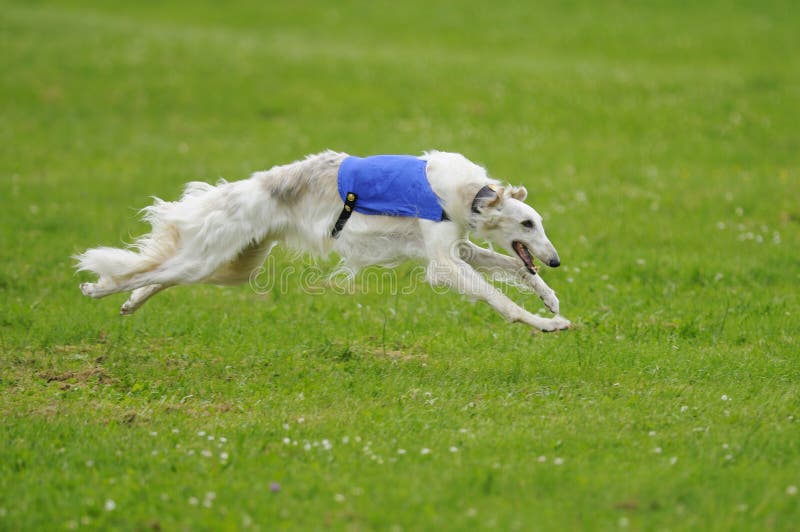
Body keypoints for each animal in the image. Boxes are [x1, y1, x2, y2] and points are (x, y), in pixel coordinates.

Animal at [75, 150, 572, 330]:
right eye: (528, 224)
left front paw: (548, 298)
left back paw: (131, 301)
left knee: (160, 275)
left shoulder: (458, 247)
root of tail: (246, 187)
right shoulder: (443, 263)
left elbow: (513, 269)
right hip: (211, 255)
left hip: (233, 263)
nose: (555, 261)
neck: (470, 194)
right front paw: (547, 323)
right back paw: (98, 288)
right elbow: (499, 298)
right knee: (145, 270)